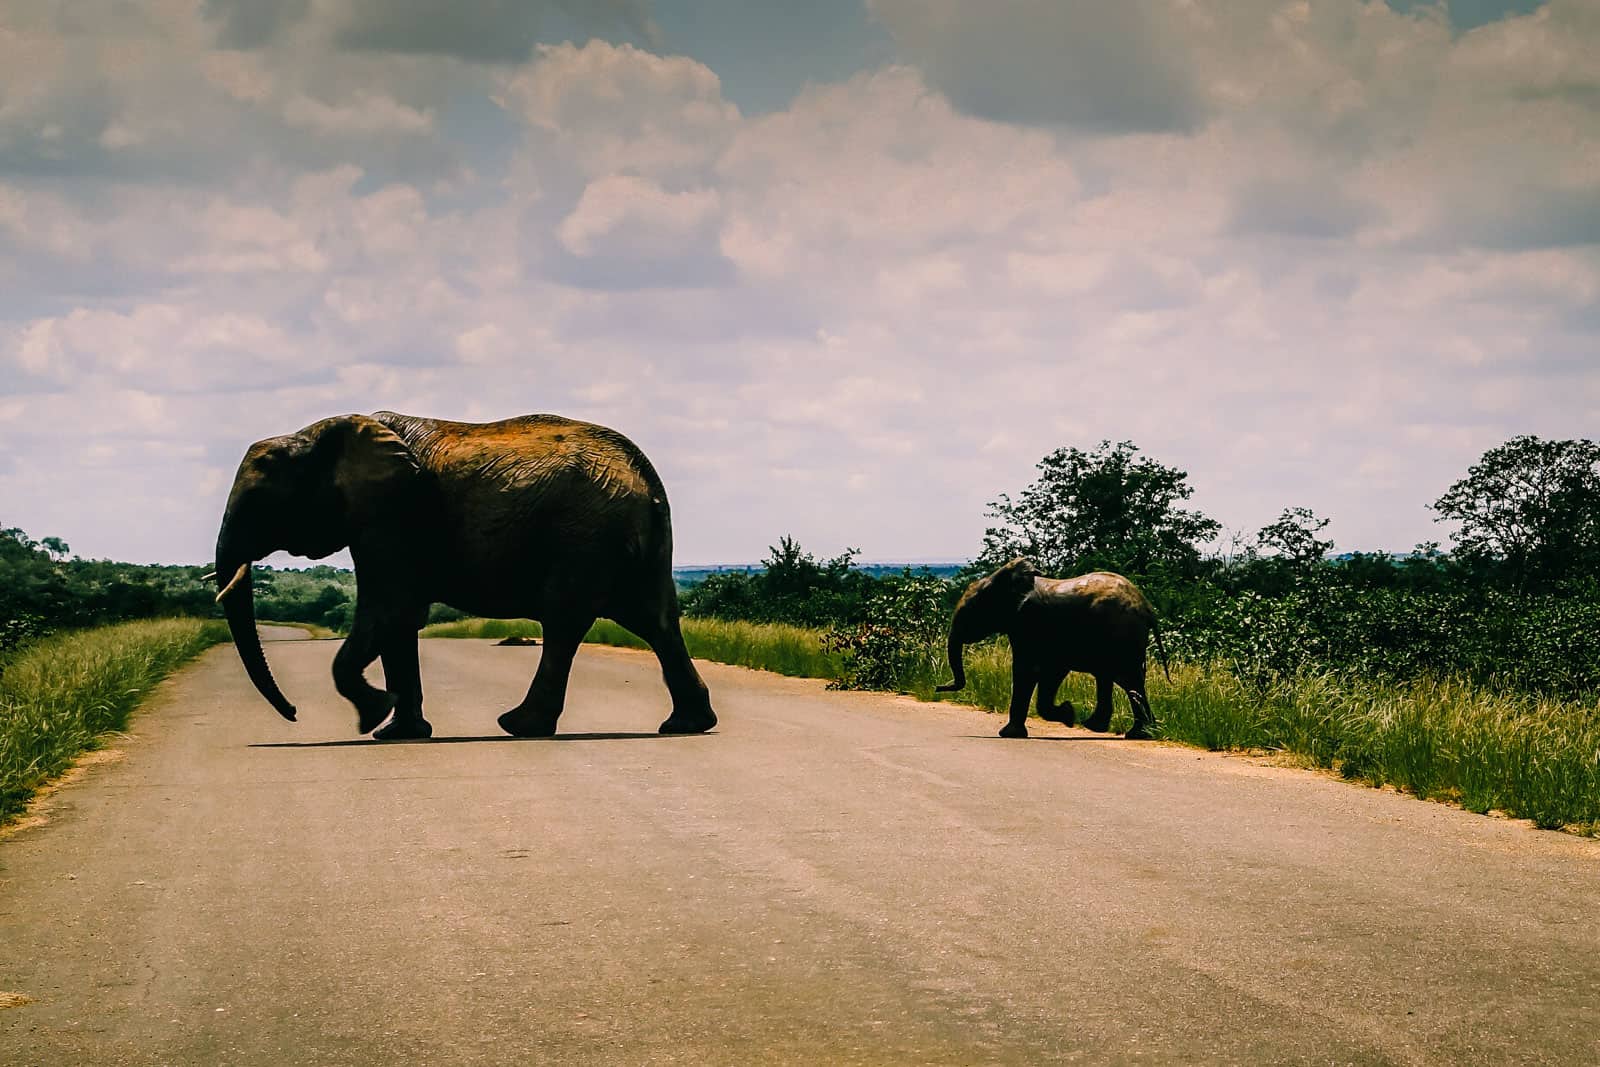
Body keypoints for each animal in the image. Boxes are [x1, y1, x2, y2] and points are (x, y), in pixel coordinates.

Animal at [213, 411, 717, 740]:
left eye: (261, 503)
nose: (294, 713)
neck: (319, 433)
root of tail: (646, 478)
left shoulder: (392, 515)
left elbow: (390, 610)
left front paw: (373, 717)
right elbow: (399, 621)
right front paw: (398, 733)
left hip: (587, 532)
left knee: (564, 622)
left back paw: (519, 726)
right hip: (626, 541)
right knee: (655, 620)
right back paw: (686, 726)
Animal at [935, 558, 1168, 741]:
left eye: (971, 609)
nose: (938, 687)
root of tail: (1147, 607)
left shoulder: (1029, 622)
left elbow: (1029, 670)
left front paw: (1066, 716)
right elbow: (1047, 672)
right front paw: (1068, 715)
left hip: (1122, 635)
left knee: (1127, 679)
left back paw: (1132, 733)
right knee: (1120, 679)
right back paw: (1123, 731)